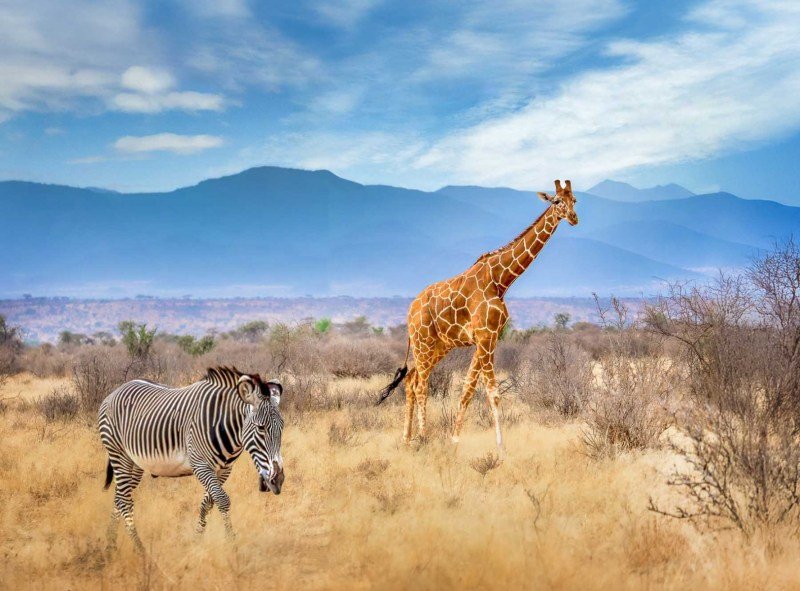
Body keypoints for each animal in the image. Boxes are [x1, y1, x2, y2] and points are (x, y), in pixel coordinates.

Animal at [98, 366, 285, 551]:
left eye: (282, 427)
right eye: (261, 428)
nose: (278, 480)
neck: (224, 424)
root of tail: (115, 391)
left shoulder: (224, 469)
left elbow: (207, 503)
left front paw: (196, 541)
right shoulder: (200, 465)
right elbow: (222, 500)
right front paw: (233, 545)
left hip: (136, 463)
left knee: (119, 496)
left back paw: (110, 545)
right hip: (118, 454)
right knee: (124, 501)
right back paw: (140, 550)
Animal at [378, 179, 579, 454]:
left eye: (575, 200)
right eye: (557, 201)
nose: (574, 218)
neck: (501, 280)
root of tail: (410, 309)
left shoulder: (488, 338)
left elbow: (468, 390)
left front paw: (454, 441)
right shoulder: (485, 337)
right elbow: (493, 393)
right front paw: (501, 449)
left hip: (440, 345)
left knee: (410, 379)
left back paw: (407, 440)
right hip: (423, 341)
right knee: (420, 384)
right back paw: (423, 437)